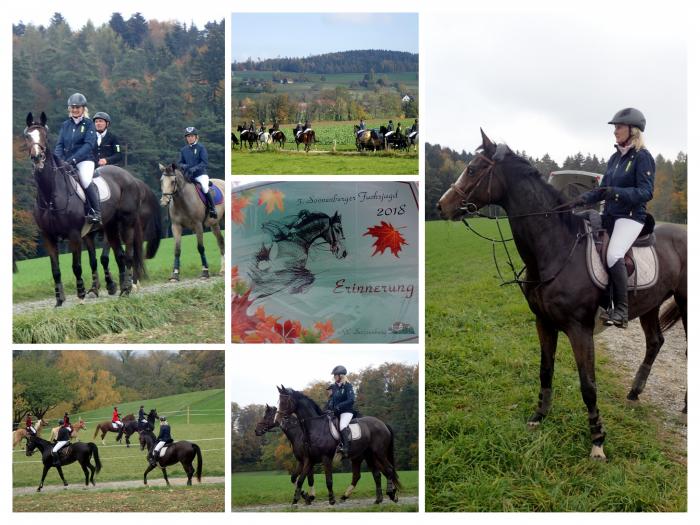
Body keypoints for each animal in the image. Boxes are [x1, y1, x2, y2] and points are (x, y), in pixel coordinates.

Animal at [23, 112, 146, 304]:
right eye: (27, 136)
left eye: (44, 135)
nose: (37, 158)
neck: (50, 194)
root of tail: (129, 177)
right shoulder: (48, 236)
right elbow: (56, 269)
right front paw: (59, 299)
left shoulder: (74, 234)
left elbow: (77, 266)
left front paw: (81, 295)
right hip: (110, 227)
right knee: (118, 254)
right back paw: (123, 288)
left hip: (126, 223)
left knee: (128, 253)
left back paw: (127, 287)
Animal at [438, 130, 688, 458]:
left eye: (473, 169)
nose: (441, 206)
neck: (556, 247)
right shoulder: (543, 322)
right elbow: (546, 370)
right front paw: (539, 416)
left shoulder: (579, 329)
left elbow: (588, 385)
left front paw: (597, 441)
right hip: (650, 304)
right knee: (655, 342)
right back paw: (634, 393)